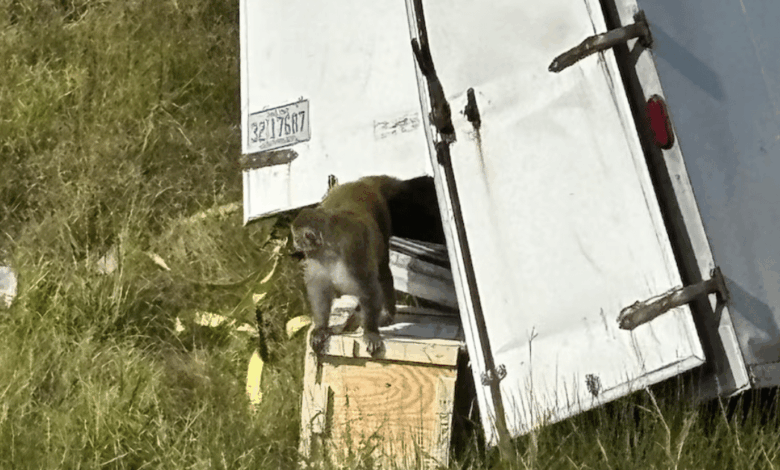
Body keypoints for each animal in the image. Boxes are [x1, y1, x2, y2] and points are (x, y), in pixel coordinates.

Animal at [291, 176, 403, 356]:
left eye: (296, 237)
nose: (295, 243)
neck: (329, 249)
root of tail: (360, 182)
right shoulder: (315, 258)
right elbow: (319, 289)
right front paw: (321, 328)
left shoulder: (352, 250)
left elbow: (368, 287)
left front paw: (370, 332)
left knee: (382, 270)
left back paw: (387, 312)